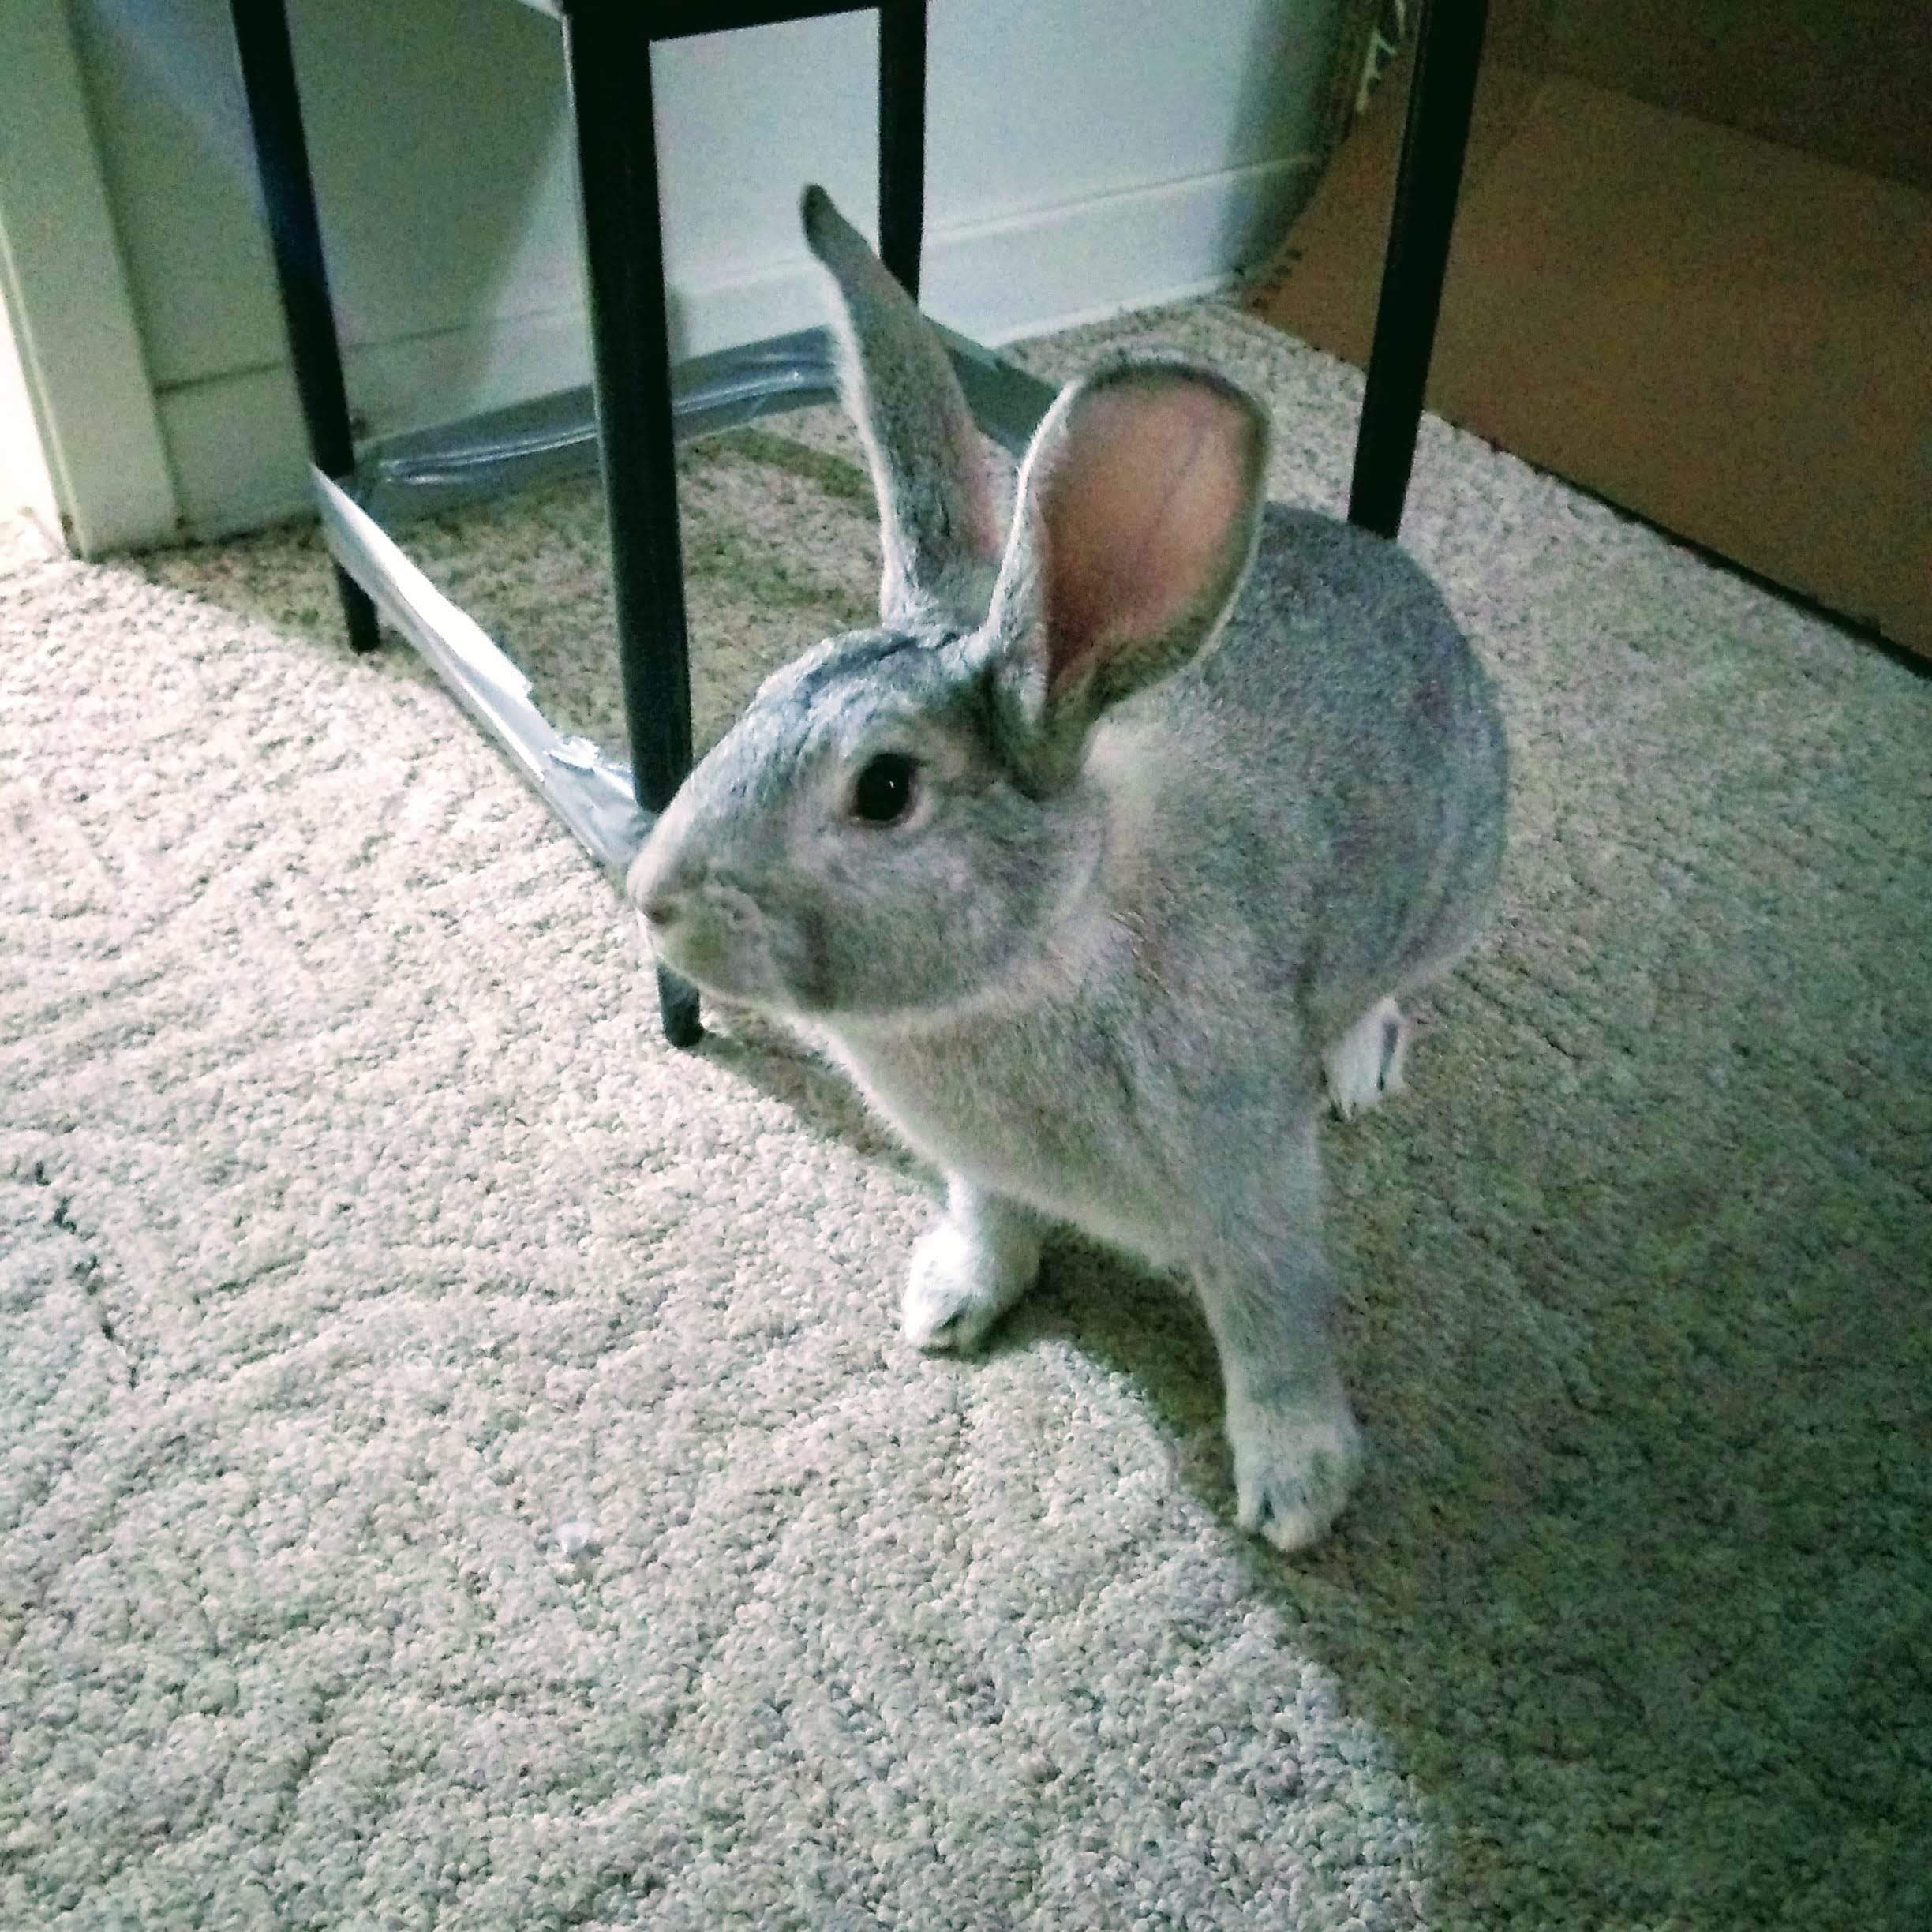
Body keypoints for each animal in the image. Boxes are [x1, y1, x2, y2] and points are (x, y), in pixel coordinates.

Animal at [628, 186, 1508, 1552]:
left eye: (886, 791)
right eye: (769, 690)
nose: (653, 899)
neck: (1042, 950)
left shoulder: (1254, 1181)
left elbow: (1277, 1325)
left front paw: (1298, 1493)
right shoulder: (981, 1171)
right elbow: (993, 1226)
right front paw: (946, 1305)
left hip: (1453, 885)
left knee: (1387, 986)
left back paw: (1361, 1061)